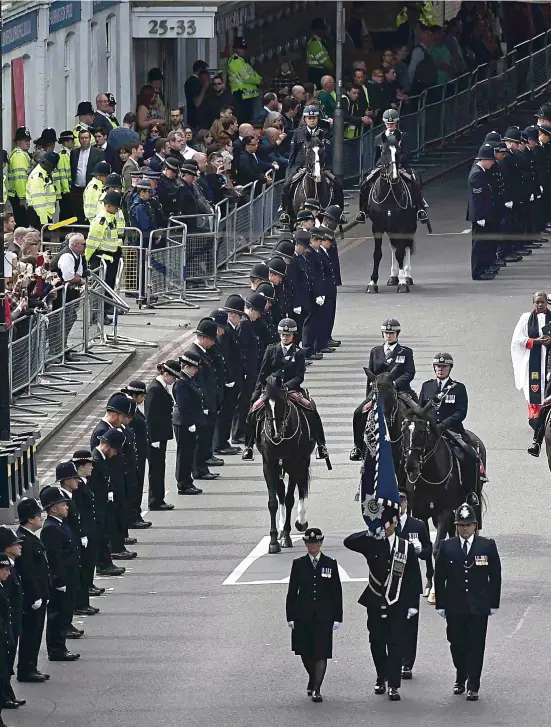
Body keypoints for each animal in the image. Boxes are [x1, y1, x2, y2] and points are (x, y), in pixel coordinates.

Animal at [253, 378, 314, 556]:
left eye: (282, 401)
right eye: (265, 402)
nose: (275, 434)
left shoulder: (295, 464)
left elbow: (289, 499)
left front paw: (287, 536)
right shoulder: (269, 465)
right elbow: (273, 501)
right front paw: (274, 541)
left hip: (303, 462)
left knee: (300, 488)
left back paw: (301, 521)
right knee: (280, 492)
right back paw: (280, 530)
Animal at [358, 136, 418, 292]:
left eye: (399, 152)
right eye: (383, 152)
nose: (394, 176)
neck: (389, 195)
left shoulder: (402, 225)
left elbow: (401, 253)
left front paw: (402, 283)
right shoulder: (377, 227)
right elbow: (377, 254)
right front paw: (372, 283)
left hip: (410, 225)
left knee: (406, 246)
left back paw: (407, 276)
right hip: (391, 228)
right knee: (393, 245)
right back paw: (393, 276)